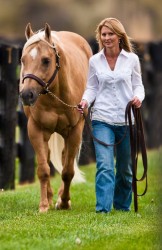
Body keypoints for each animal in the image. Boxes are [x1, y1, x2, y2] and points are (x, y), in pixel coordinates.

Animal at [19, 23, 92, 211]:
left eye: (46, 60)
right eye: (23, 60)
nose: (26, 95)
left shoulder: (74, 131)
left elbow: (67, 171)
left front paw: (64, 202)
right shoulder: (35, 130)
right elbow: (43, 170)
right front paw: (44, 205)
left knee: (66, 159)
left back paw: (60, 198)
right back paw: (52, 197)